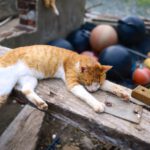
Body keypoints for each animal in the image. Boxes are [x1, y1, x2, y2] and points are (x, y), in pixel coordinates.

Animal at [0, 45, 129, 112]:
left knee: (26, 90)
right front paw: (97, 104)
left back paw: (41, 104)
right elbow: (86, 95)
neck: (77, 59)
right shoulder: (72, 83)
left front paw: (123, 93)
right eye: (88, 82)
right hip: (6, 85)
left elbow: (110, 85)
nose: (94, 90)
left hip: (30, 79)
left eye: (98, 82)